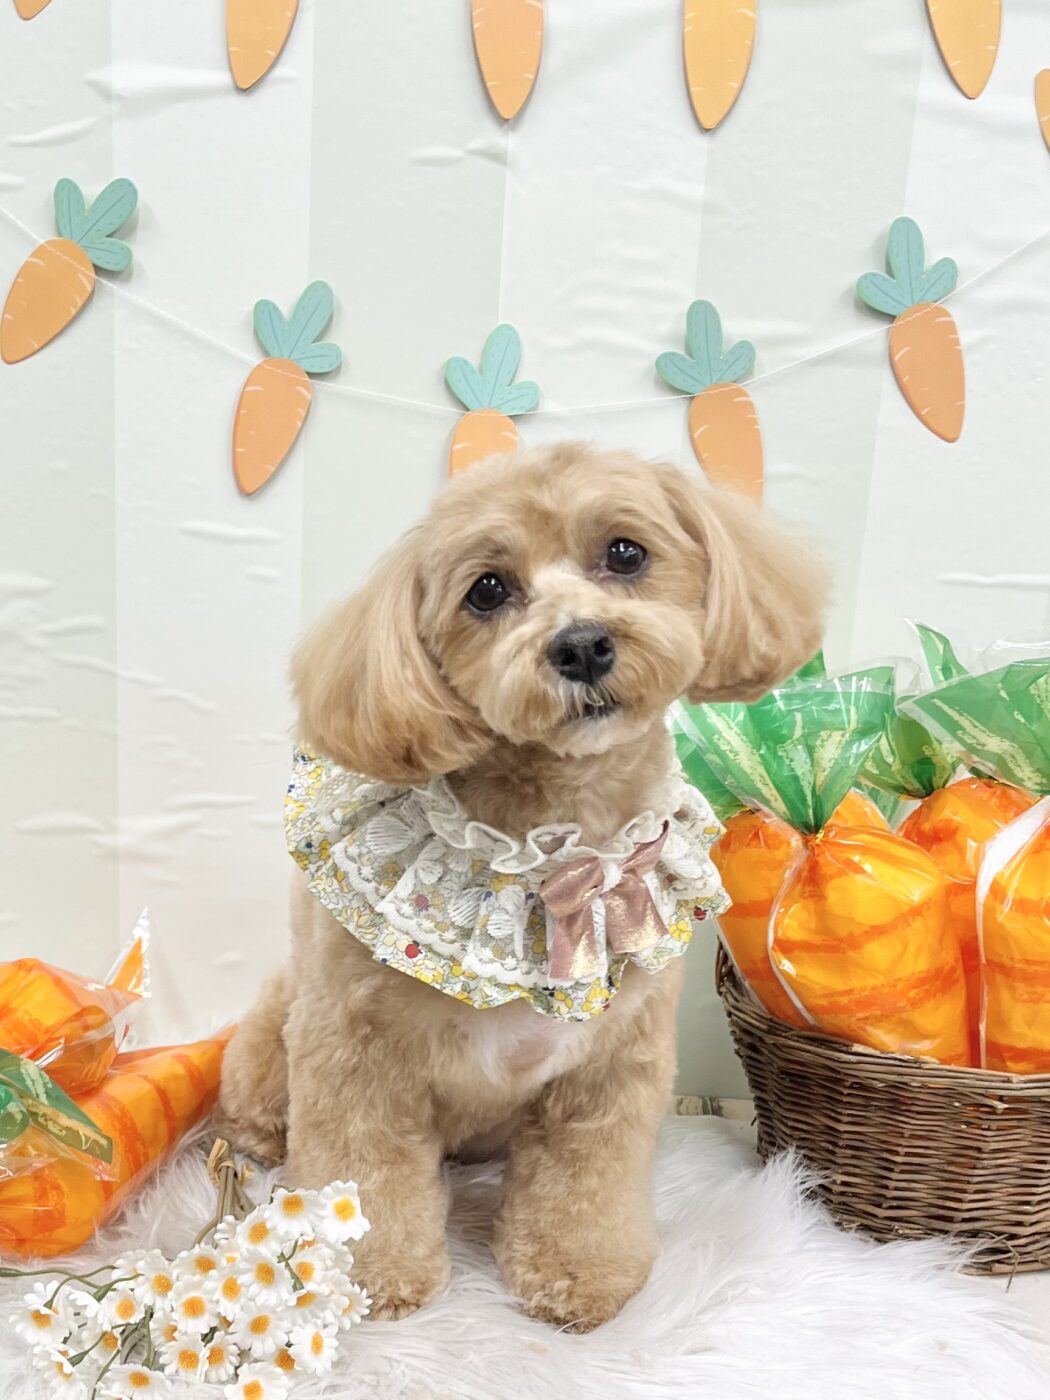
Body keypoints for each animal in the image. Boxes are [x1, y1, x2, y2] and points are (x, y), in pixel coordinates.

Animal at [218, 441, 826, 1330]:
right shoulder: (357, 1057)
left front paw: (580, 1276)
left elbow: (584, 1182)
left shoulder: (612, 1067)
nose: (582, 645)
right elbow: (364, 1170)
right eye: (488, 590)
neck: (552, 848)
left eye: (625, 553)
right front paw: (364, 1276)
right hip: (274, 1031)